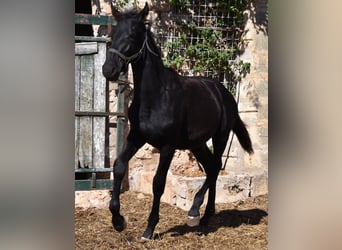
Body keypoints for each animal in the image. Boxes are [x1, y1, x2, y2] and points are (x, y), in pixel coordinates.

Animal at [101, 2, 254, 240]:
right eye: (113, 34)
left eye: (133, 34)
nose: (109, 70)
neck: (155, 96)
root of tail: (224, 93)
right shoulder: (136, 137)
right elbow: (119, 166)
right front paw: (118, 221)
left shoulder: (167, 146)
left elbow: (158, 183)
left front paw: (149, 229)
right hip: (198, 144)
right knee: (211, 167)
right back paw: (205, 217)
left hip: (220, 137)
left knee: (216, 167)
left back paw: (194, 212)